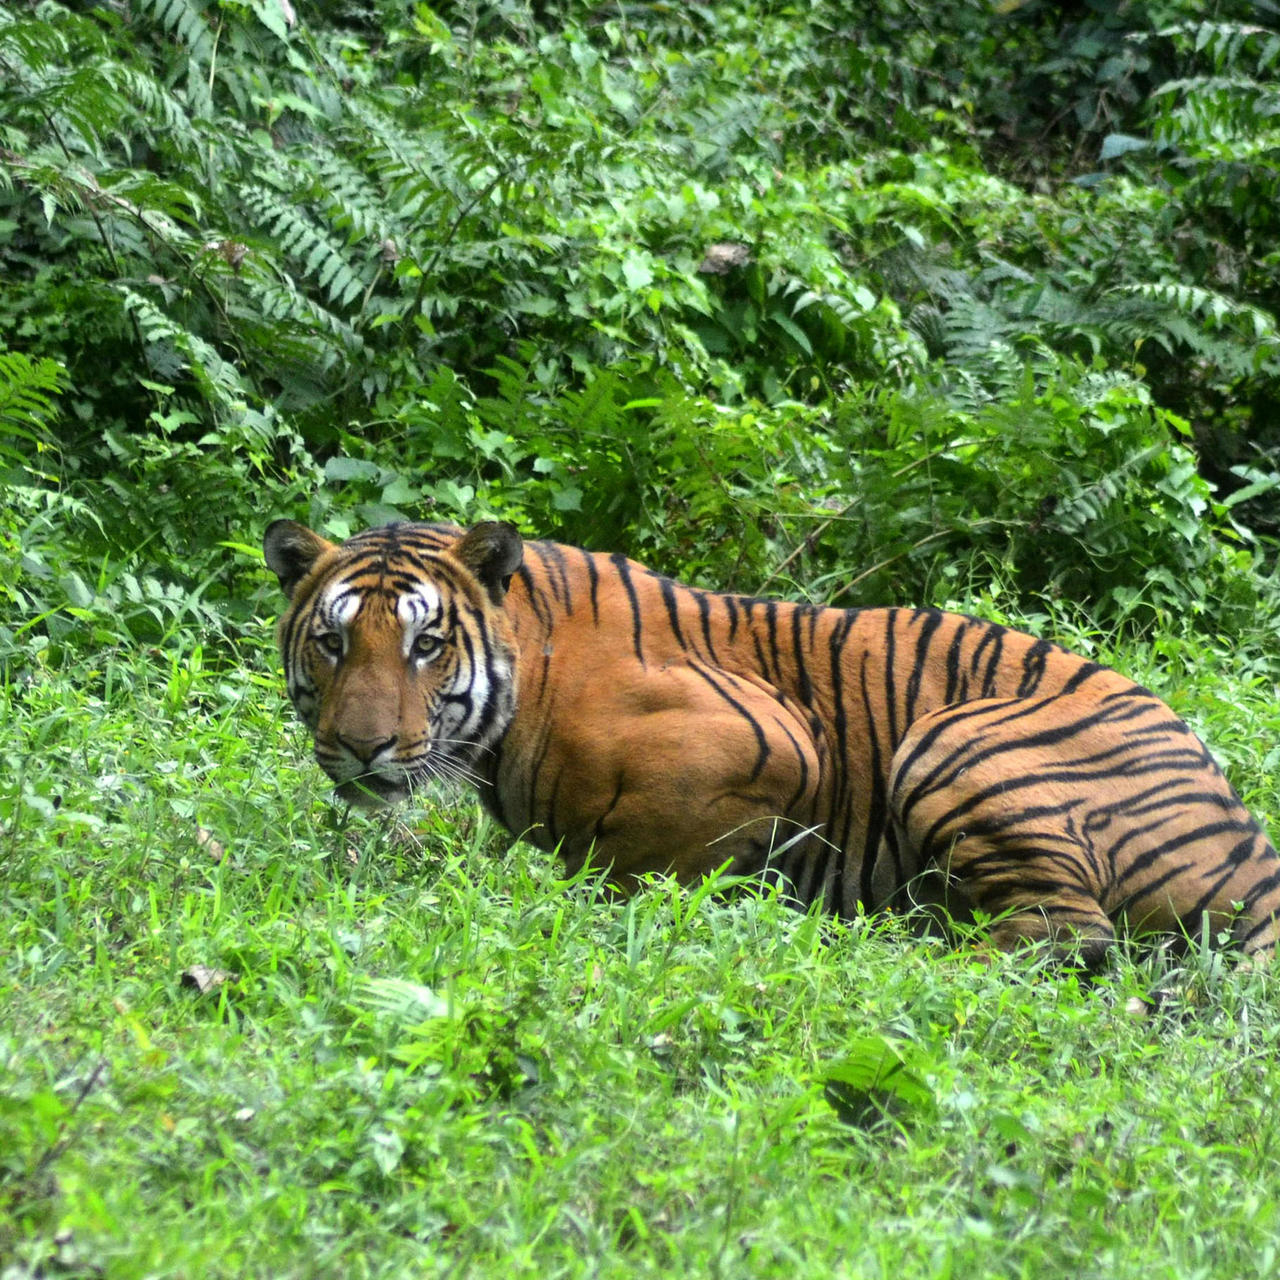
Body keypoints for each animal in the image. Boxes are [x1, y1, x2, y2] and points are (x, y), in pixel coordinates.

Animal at [259, 514, 1280, 962]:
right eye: (333, 641)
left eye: (426, 645)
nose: (362, 748)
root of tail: (1248, 837)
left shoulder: (772, 741)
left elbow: (639, 863)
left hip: (954, 739)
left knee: (1070, 939)